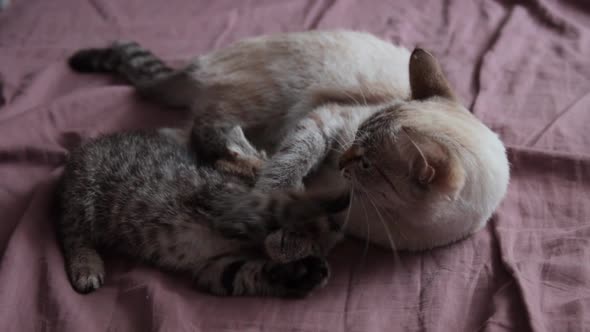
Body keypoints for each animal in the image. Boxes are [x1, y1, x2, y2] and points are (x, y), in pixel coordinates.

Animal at [57, 126, 350, 296]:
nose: (335, 228)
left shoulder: (212, 267)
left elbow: (243, 274)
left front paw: (303, 273)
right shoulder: (230, 207)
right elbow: (278, 204)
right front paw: (332, 198)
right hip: (83, 193)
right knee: (73, 235)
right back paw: (86, 266)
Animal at [70, 29, 512, 250]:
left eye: (367, 163)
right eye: (358, 138)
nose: (344, 158)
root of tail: (200, 64)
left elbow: (303, 215)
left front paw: (285, 234)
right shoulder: (326, 120)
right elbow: (286, 169)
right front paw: (265, 203)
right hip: (271, 100)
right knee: (208, 125)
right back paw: (245, 154)